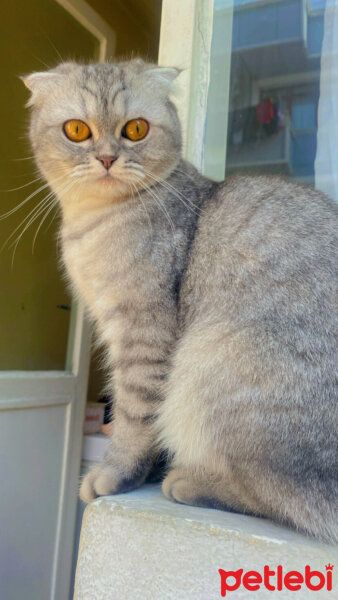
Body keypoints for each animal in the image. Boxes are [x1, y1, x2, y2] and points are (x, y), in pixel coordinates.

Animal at [22, 59, 336, 544]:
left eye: (135, 129)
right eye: (77, 130)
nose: (107, 158)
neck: (93, 221)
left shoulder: (143, 333)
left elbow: (134, 416)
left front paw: (116, 474)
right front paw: (144, 471)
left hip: (208, 361)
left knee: (282, 499)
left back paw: (189, 481)